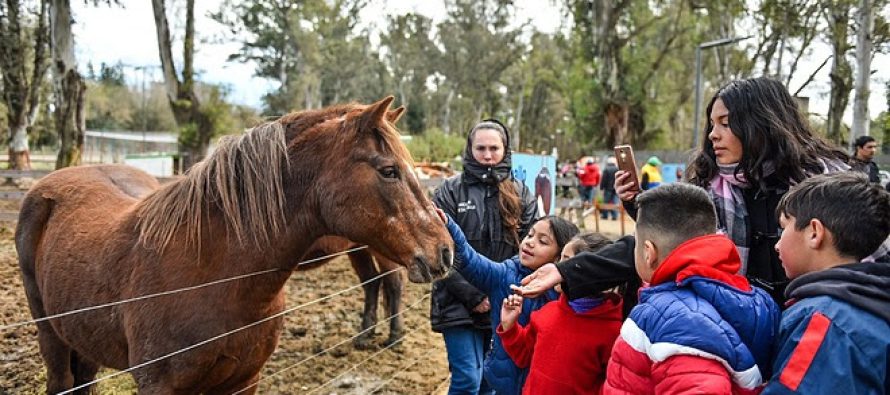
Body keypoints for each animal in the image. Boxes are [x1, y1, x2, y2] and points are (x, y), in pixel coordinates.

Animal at [15, 97, 450, 394]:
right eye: (389, 171)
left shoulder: (244, 380)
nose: (445, 250)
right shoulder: (159, 384)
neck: (213, 275)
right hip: (53, 337)